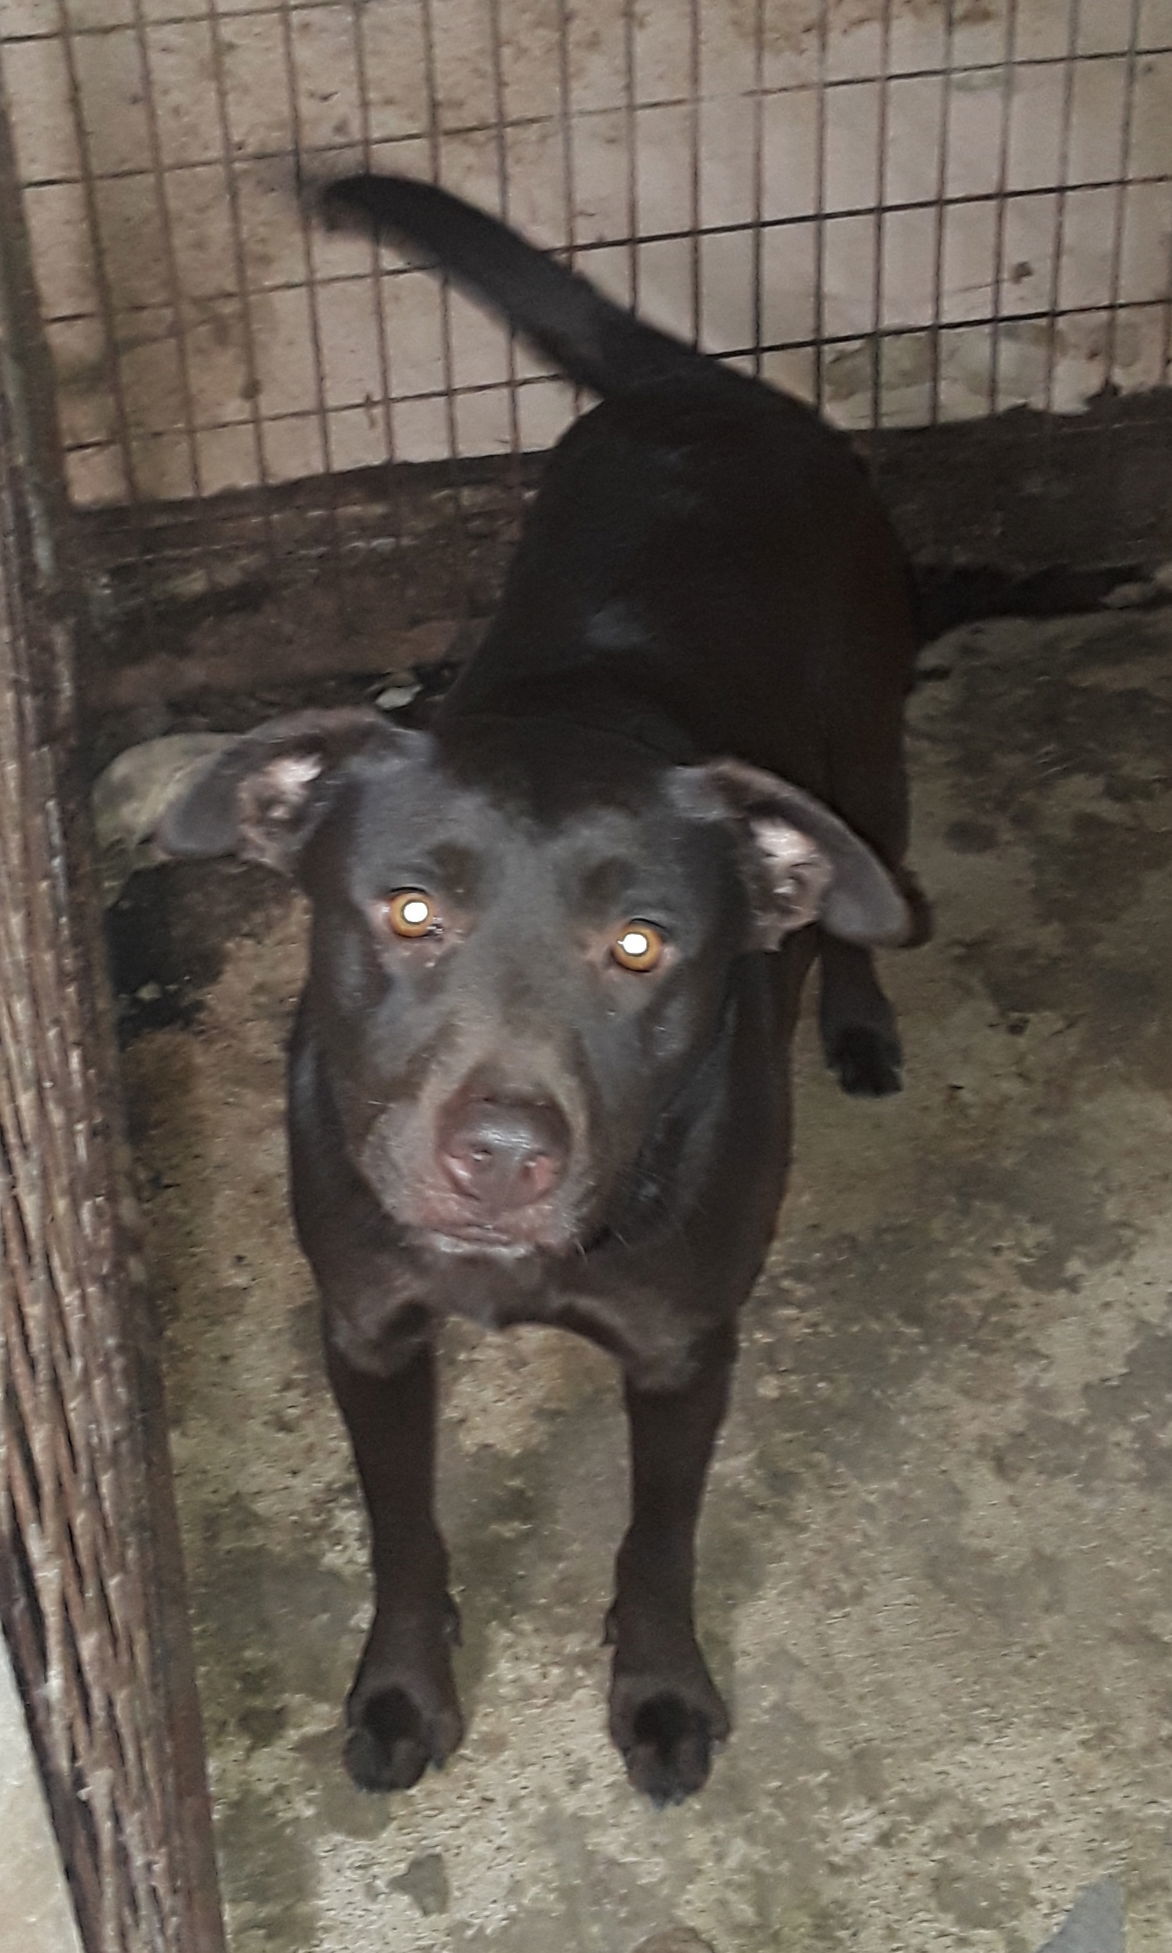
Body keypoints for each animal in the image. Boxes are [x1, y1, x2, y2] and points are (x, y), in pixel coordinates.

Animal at [158, 175, 925, 1804]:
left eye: (640, 946)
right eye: (408, 910)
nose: (501, 1157)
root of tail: (698, 387)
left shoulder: (683, 1352)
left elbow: (658, 1542)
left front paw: (661, 1688)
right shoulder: (368, 1329)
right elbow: (400, 1533)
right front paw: (400, 1686)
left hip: (865, 750)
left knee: (863, 899)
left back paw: (856, 1016)